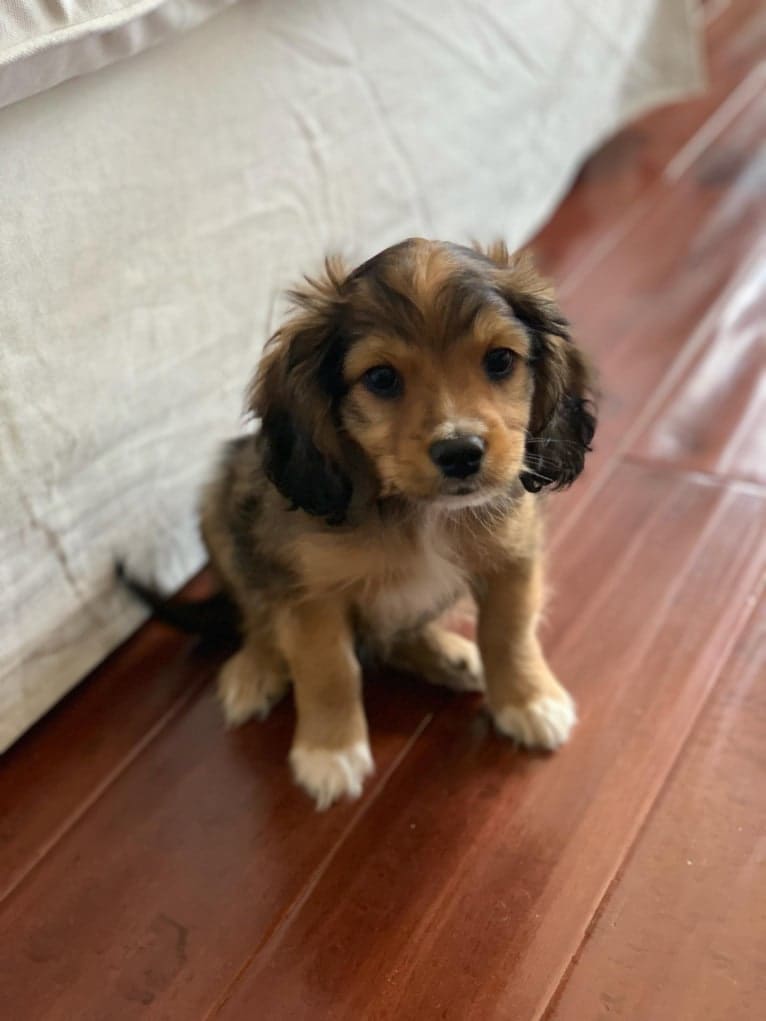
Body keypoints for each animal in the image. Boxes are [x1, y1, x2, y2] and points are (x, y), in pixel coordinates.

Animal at [187, 236, 600, 804]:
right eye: (381, 378)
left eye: (500, 360)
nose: (460, 452)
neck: (418, 512)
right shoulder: (309, 592)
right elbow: (328, 668)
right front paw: (329, 751)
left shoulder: (513, 557)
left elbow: (509, 633)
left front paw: (527, 699)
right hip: (222, 507)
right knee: (255, 612)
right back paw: (256, 668)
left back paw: (447, 655)